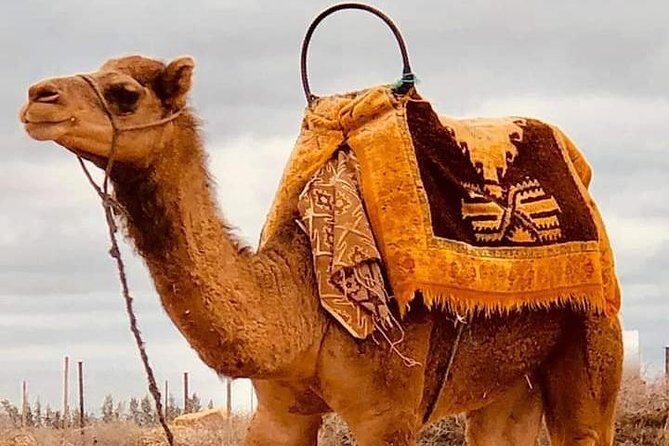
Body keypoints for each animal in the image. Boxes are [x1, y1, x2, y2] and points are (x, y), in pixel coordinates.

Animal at [19, 55, 623, 446]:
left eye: (124, 93)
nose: (36, 98)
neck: (303, 296)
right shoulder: (277, 412)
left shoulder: (388, 415)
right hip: (507, 378)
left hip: (595, 334)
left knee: (586, 424)